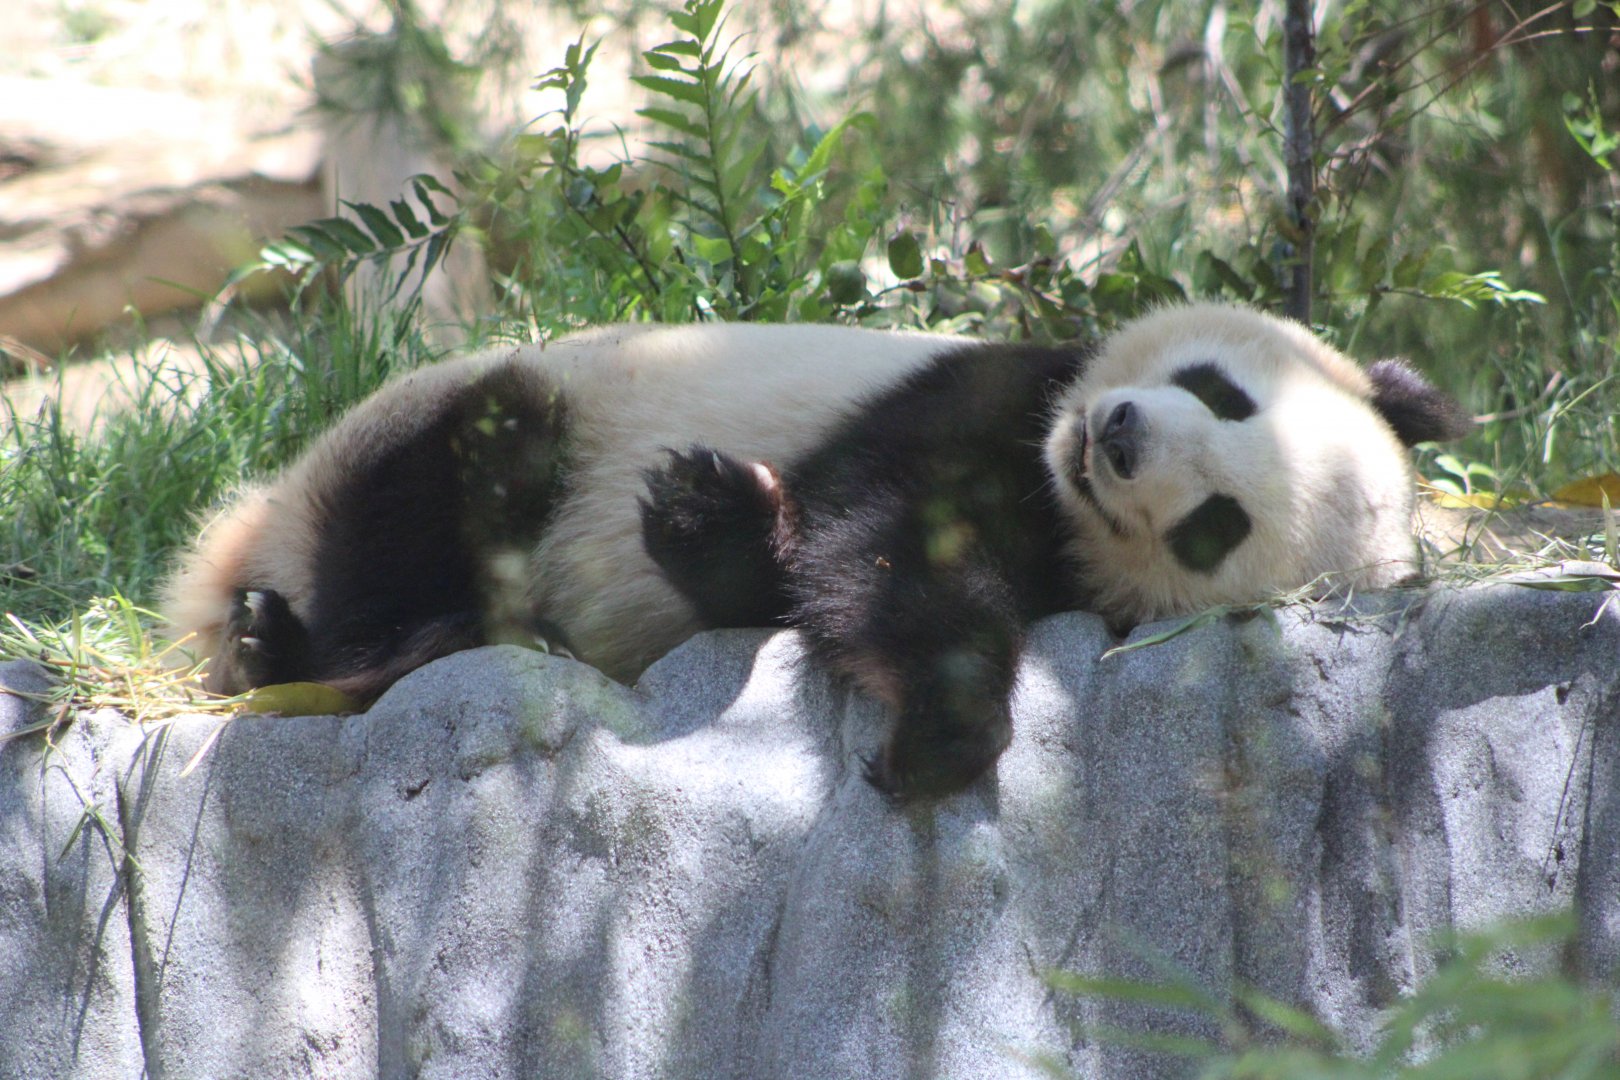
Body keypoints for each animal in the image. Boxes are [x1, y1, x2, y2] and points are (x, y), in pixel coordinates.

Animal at [163, 304, 1467, 799]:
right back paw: (290, 639)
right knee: (489, 444)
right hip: (423, 423)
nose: (1123, 436)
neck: (1052, 482)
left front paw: (937, 736)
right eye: (1225, 392)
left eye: (1215, 526)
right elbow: (880, 526)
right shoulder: (982, 389)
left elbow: (866, 559)